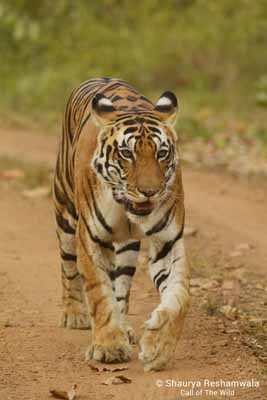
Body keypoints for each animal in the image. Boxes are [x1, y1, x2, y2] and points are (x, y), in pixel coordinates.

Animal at [52, 76, 191, 370]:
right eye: (127, 153)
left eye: (162, 153)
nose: (150, 191)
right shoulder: (91, 239)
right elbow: (98, 293)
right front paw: (109, 347)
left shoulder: (168, 242)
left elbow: (180, 297)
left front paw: (158, 347)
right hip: (65, 214)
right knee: (68, 268)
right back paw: (74, 314)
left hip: (127, 248)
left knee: (122, 289)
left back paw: (125, 327)